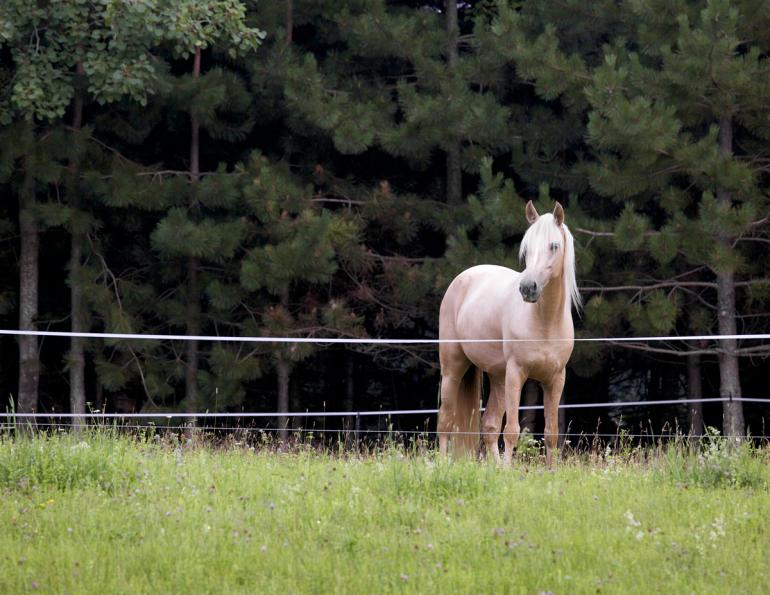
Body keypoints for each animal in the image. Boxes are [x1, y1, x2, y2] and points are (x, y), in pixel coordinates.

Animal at [437, 200, 581, 467]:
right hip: (454, 369)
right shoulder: (517, 374)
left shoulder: (556, 379)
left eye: (554, 246)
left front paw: (550, 472)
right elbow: (512, 430)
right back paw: (441, 465)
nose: (527, 288)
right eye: (527, 248)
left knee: (490, 426)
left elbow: (551, 433)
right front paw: (508, 471)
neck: (544, 323)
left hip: (498, 377)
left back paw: (494, 468)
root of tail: (463, 277)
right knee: (446, 421)